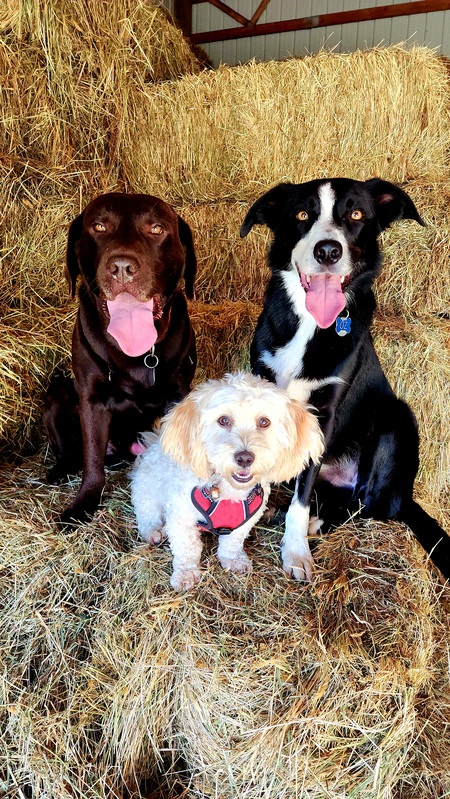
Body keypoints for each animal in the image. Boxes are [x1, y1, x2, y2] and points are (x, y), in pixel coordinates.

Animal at [45, 191, 197, 528]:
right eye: (99, 226)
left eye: (156, 229)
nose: (123, 267)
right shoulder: (91, 400)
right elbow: (91, 459)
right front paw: (83, 503)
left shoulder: (178, 394)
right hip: (57, 393)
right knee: (70, 451)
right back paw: (60, 470)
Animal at [130, 372, 324, 592]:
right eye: (223, 420)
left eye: (264, 422)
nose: (244, 458)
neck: (230, 490)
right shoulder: (181, 517)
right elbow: (187, 548)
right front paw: (186, 574)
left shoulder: (246, 520)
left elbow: (232, 541)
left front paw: (233, 560)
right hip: (146, 494)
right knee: (147, 516)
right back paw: (155, 531)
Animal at [241, 178, 450, 580]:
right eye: (301, 214)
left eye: (356, 215)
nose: (327, 251)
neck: (310, 322)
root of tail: (404, 494)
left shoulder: (324, 413)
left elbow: (302, 499)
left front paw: (295, 550)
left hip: (397, 418)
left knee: (367, 504)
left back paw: (316, 522)